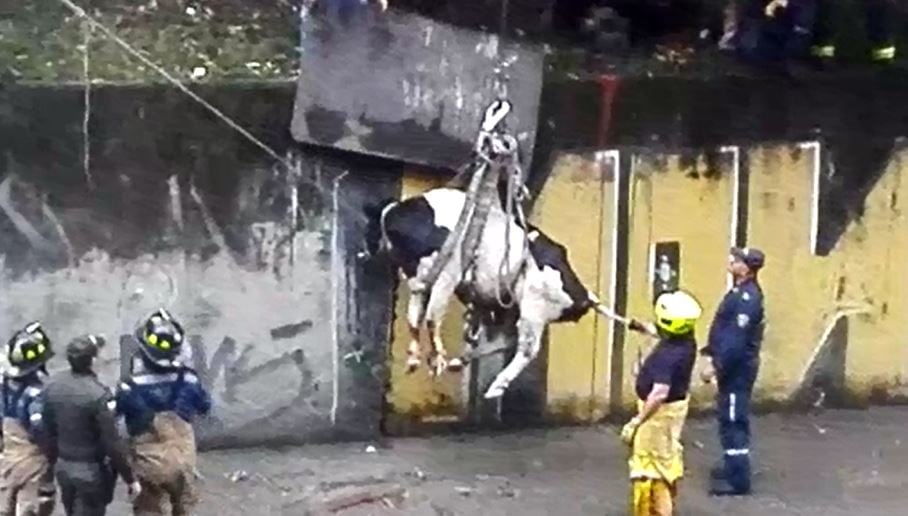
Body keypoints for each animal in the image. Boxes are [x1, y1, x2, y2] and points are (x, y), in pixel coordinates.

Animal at [360, 186, 612, 400]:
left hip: (534, 308)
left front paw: (437, 360)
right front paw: (414, 360)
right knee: (507, 341)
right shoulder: (419, 282)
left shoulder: (447, 277)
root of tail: (583, 293)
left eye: (370, 225)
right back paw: (461, 362)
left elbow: (432, 318)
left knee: (527, 349)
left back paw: (495, 387)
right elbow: (414, 320)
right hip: (512, 307)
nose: (363, 252)